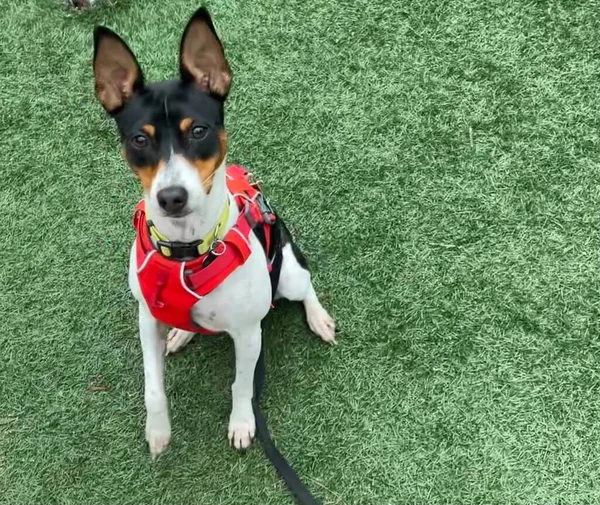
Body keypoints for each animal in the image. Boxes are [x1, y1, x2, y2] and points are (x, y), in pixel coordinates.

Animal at [94, 5, 338, 454]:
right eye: (139, 139)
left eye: (198, 130)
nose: (171, 197)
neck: (187, 247)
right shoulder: (146, 318)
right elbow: (152, 388)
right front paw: (158, 431)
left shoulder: (248, 334)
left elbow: (242, 384)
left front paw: (242, 423)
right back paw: (180, 334)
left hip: (288, 274)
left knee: (306, 285)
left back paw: (319, 318)